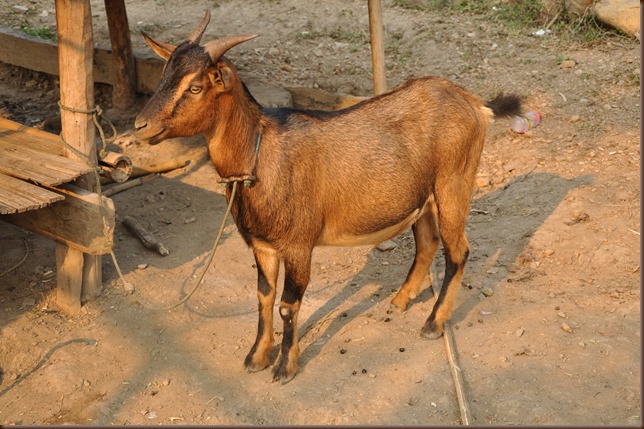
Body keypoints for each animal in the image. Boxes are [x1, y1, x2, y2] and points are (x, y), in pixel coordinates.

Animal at [135, 11, 524, 382]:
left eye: (196, 86)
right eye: (165, 76)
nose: (140, 125)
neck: (260, 153)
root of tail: (476, 103)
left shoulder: (298, 244)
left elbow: (288, 305)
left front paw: (285, 367)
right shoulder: (262, 244)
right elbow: (263, 296)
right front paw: (256, 357)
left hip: (454, 183)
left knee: (458, 251)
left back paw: (433, 323)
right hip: (423, 198)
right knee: (427, 242)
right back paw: (399, 301)